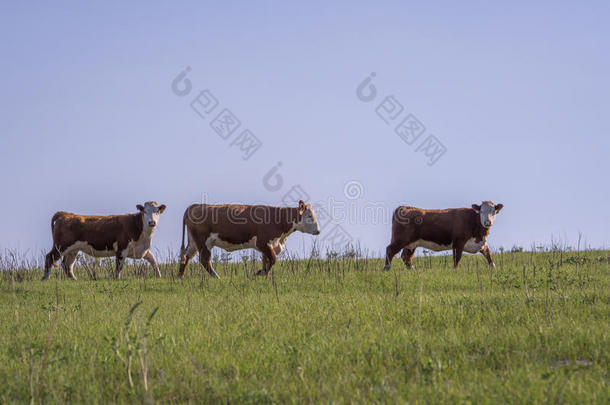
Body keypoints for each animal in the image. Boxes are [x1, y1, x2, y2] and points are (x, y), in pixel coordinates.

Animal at [178, 200, 320, 278]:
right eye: (309, 216)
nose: (318, 231)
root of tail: (194, 206)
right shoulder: (263, 242)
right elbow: (273, 259)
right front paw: (259, 273)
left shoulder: (269, 246)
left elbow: (266, 261)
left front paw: (265, 276)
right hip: (203, 242)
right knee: (204, 260)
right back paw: (217, 277)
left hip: (194, 242)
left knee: (186, 255)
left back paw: (180, 276)